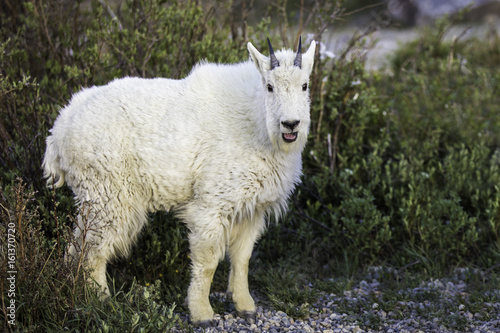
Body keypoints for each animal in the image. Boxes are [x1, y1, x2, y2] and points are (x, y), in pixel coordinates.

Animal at [43, 37, 316, 324]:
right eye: (270, 86)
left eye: (305, 85)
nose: (290, 124)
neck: (257, 122)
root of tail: (58, 131)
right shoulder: (212, 204)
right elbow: (207, 261)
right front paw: (202, 313)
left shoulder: (252, 208)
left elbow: (242, 259)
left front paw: (245, 306)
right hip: (109, 195)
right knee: (94, 252)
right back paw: (103, 302)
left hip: (94, 197)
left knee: (76, 246)